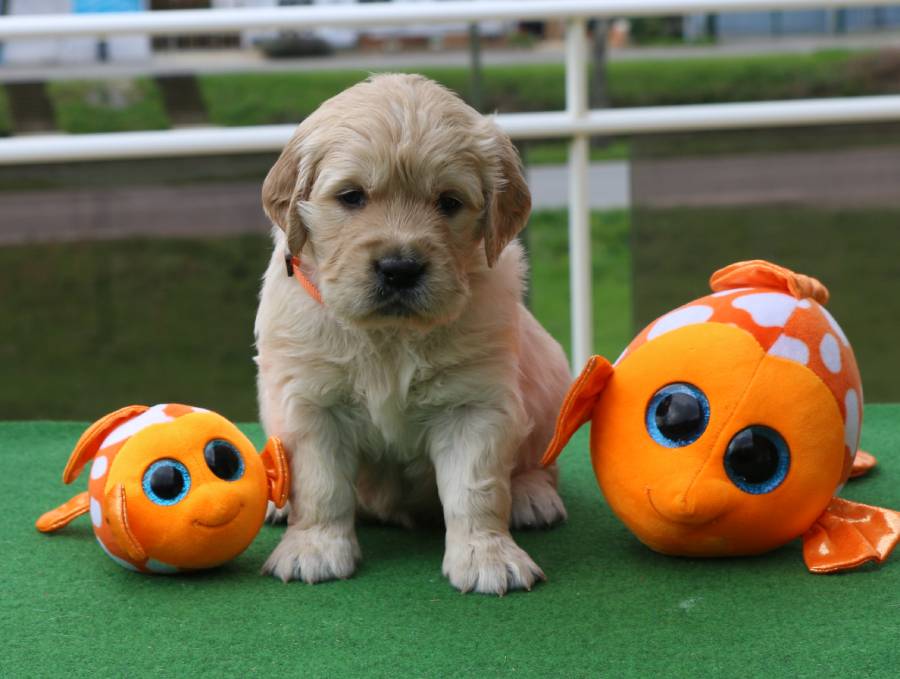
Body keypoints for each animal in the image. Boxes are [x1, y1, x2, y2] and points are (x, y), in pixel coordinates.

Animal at [255, 73, 571, 595]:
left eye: (449, 202)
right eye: (352, 197)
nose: (399, 268)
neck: (390, 335)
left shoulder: (474, 403)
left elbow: (476, 488)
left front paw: (488, 555)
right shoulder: (310, 400)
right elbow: (319, 484)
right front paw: (314, 548)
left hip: (550, 379)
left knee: (538, 459)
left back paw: (531, 495)